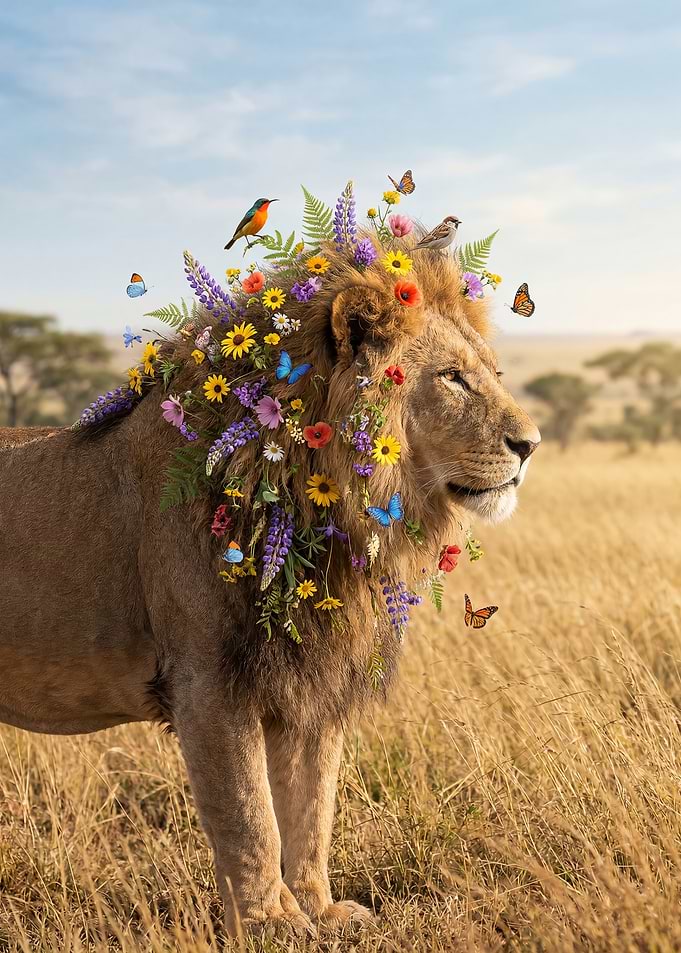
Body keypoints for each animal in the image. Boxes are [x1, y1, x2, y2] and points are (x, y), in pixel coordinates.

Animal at [0, 240, 539, 937]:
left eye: (494, 372)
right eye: (451, 378)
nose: (530, 445)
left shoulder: (311, 682)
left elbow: (310, 809)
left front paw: (320, 910)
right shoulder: (206, 681)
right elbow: (250, 818)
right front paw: (271, 925)